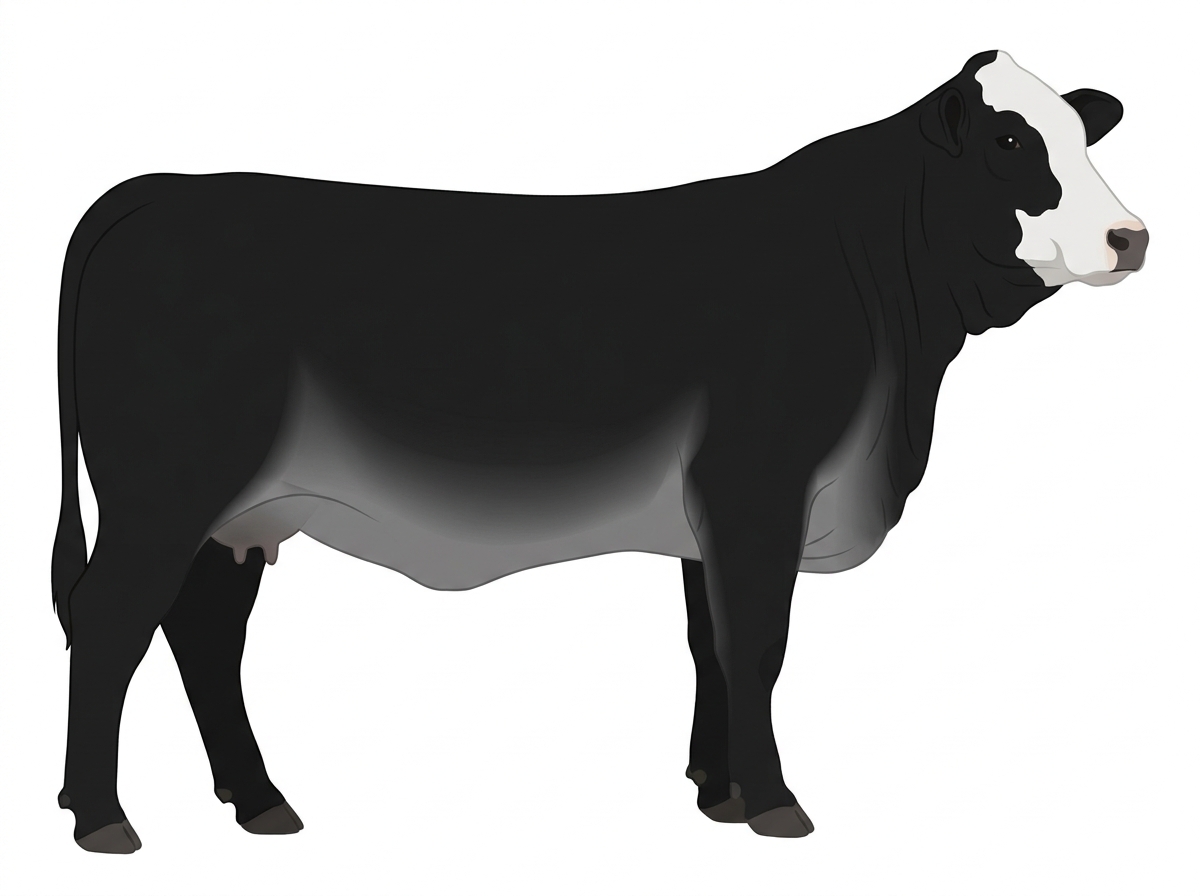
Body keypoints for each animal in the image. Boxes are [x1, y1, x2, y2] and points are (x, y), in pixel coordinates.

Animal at [50, 50, 1147, 852]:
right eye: (1010, 138)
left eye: (1081, 131)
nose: (1130, 237)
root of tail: (154, 191)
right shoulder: (757, 481)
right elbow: (757, 643)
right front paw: (775, 803)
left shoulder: (711, 513)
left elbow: (711, 642)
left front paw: (717, 793)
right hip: (166, 490)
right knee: (109, 625)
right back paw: (102, 819)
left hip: (236, 514)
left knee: (202, 634)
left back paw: (260, 801)